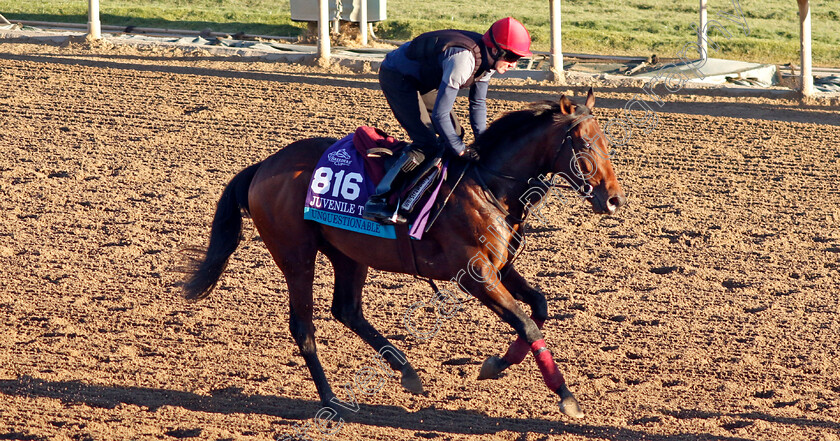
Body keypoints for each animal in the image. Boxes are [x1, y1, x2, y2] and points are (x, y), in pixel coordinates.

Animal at [187, 87, 628, 418]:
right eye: (584, 142)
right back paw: (331, 399)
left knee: (347, 310)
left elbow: (538, 307)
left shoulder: (500, 267)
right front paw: (566, 396)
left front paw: (498, 365)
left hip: (348, 253)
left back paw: (407, 372)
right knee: (303, 325)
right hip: (296, 255)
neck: (488, 185)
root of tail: (261, 166)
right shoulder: (475, 275)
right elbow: (526, 322)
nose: (613, 200)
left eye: (606, 140)